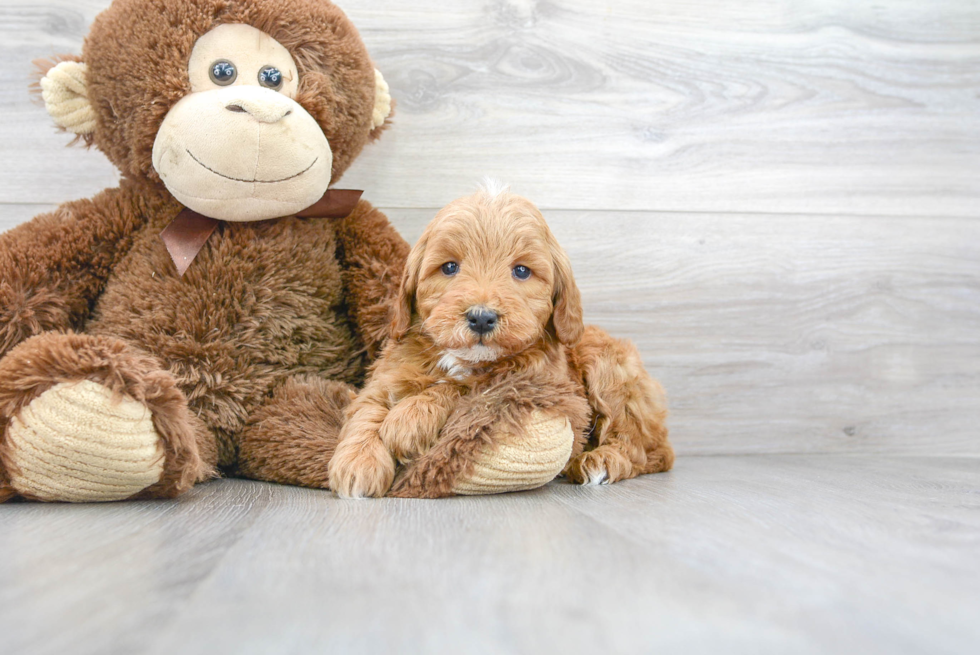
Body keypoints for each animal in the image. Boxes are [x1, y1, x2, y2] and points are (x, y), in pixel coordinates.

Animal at [330, 182, 672, 500]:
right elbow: (367, 408)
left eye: (521, 271)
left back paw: (601, 461)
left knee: (642, 446)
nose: (481, 317)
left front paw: (409, 419)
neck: (464, 357)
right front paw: (358, 462)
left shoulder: (531, 379)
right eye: (450, 267)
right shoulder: (387, 374)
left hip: (607, 369)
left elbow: (463, 387)